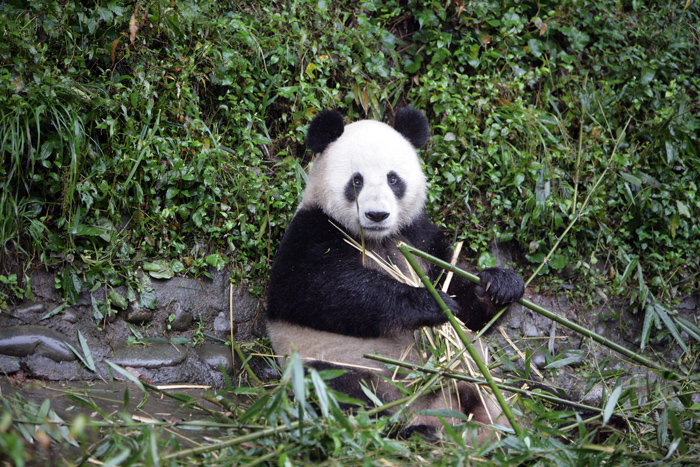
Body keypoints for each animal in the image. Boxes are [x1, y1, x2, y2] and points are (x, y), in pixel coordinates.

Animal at [268, 107, 524, 442]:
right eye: (356, 181)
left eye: (393, 179)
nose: (377, 215)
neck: (377, 238)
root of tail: (431, 408)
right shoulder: (312, 230)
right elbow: (313, 290)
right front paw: (427, 302)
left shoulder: (419, 236)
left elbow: (464, 305)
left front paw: (499, 285)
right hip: (335, 363)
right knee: (341, 391)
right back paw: (410, 431)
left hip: (469, 379)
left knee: (481, 394)